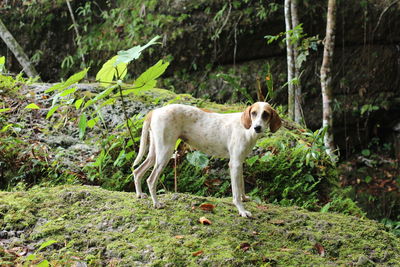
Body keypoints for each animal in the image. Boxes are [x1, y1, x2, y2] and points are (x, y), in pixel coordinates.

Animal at [132, 102, 282, 218]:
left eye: (266, 114)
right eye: (254, 113)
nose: (257, 127)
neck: (246, 129)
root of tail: (155, 111)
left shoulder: (239, 163)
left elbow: (241, 185)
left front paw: (244, 198)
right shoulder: (234, 164)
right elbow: (236, 193)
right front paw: (242, 210)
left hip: (154, 154)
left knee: (137, 172)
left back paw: (139, 194)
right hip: (164, 153)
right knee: (150, 179)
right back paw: (156, 203)